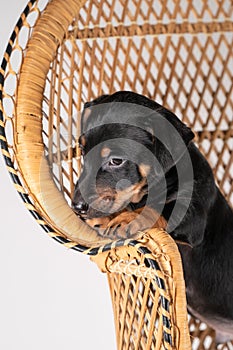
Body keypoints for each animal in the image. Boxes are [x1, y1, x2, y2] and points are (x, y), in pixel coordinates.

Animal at [72, 91, 233, 344]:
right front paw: (110, 217)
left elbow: (159, 209)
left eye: (116, 160)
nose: (77, 206)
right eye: (82, 149)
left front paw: (128, 219)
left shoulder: (194, 215)